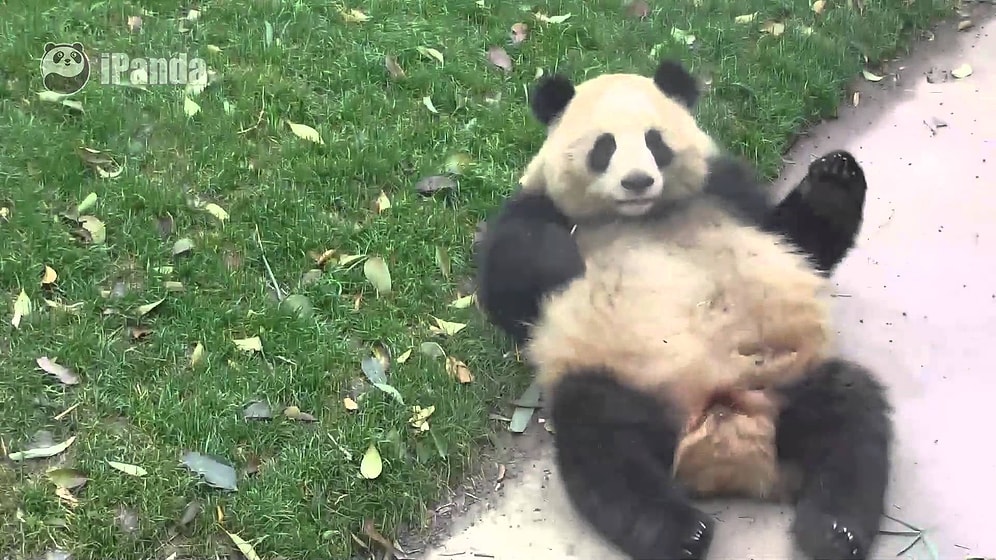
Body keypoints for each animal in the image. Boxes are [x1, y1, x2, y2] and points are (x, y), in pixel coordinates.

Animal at [474, 57, 893, 560]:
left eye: (655, 142)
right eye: (604, 147)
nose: (637, 182)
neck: (641, 215)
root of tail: (727, 447)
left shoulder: (727, 192)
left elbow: (797, 238)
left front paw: (834, 175)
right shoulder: (535, 207)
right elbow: (509, 283)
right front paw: (566, 261)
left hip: (788, 380)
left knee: (853, 418)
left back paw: (833, 531)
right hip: (629, 382)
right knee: (604, 445)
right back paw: (680, 532)